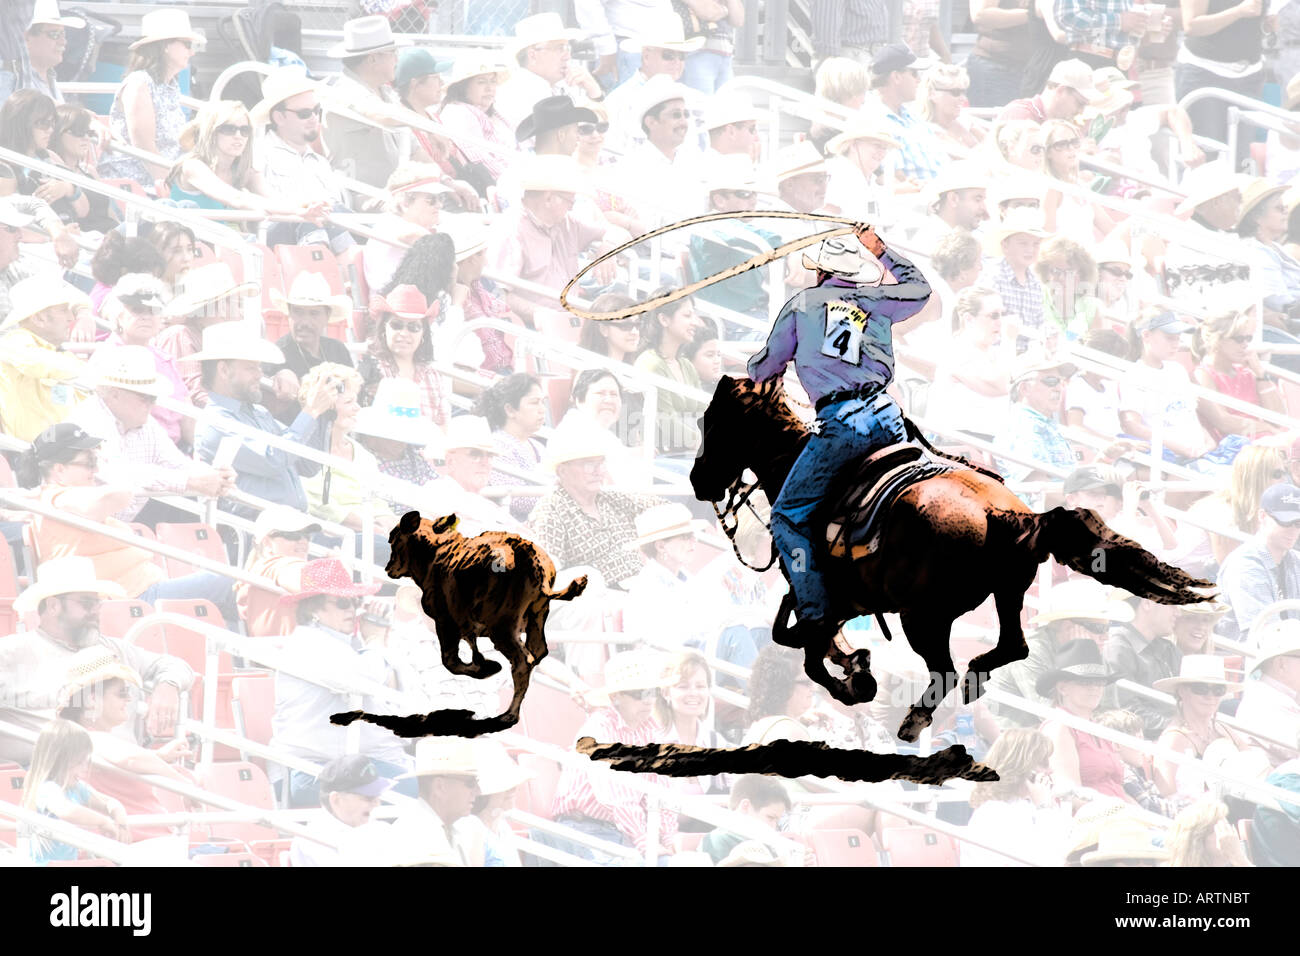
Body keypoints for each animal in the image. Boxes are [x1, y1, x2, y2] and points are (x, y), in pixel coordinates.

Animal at [696, 377, 1211, 743]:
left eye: (713, 423)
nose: (698, 480)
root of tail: (1005, 514)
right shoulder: (839, 601)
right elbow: (799, 639)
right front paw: (855, 662)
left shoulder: (823, 596)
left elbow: (804, 649)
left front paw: (856, 679)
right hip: (1005, 594)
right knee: (1013, 648)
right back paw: (972, 677)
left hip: (924, 618)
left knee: (945, 670)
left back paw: (915, 717)